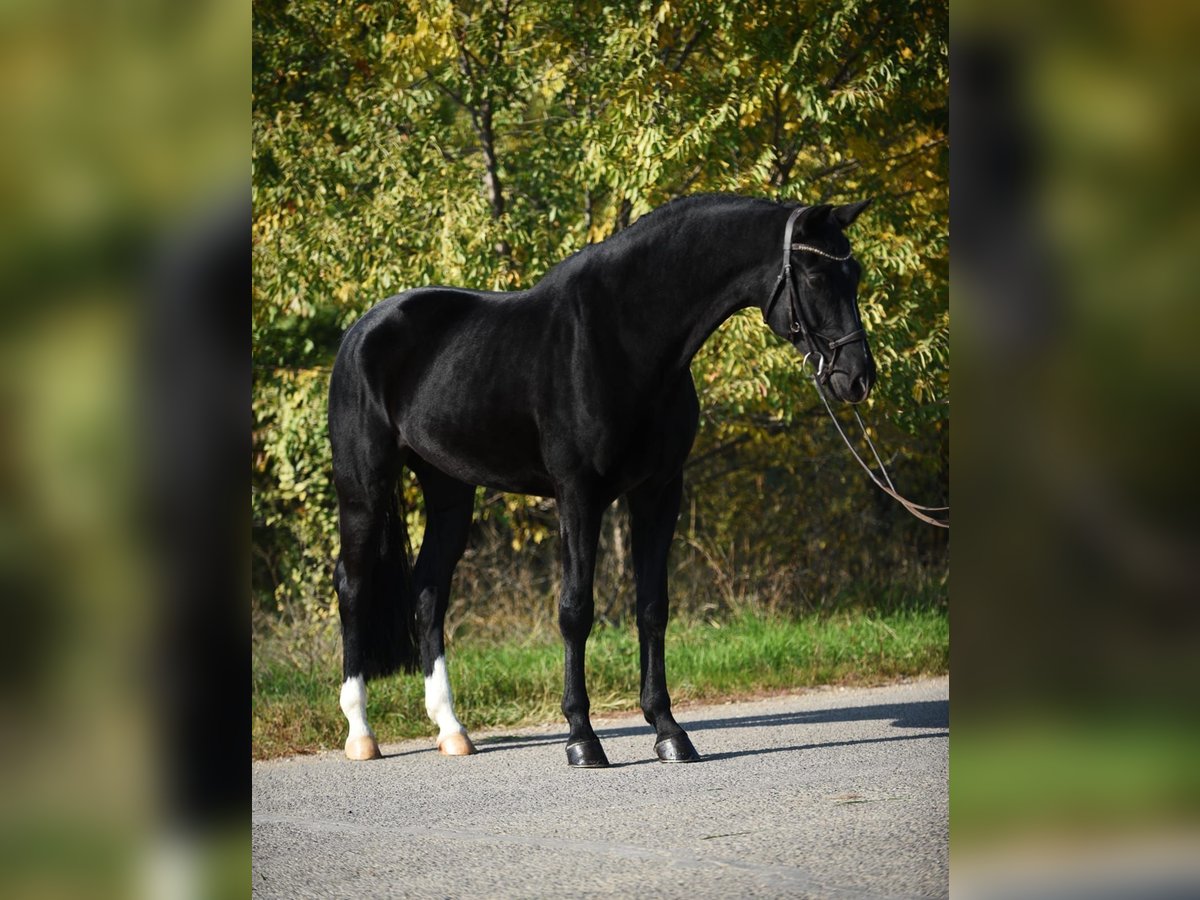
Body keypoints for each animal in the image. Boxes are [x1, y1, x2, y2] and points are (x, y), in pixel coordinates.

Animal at [328, 194, 873, 763]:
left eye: (854, 273)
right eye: (815, 276)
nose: (857, 378)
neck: (625, 339)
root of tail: (361, 330)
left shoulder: (659, 492)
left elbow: (653, 607)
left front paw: (669, 731)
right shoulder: (578, 496)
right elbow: (576, 611)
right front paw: (582, 738)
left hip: (449, 490)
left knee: (429, 592)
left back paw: (452, 731)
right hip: (363, 488)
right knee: (353, 586)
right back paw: (361, 734)